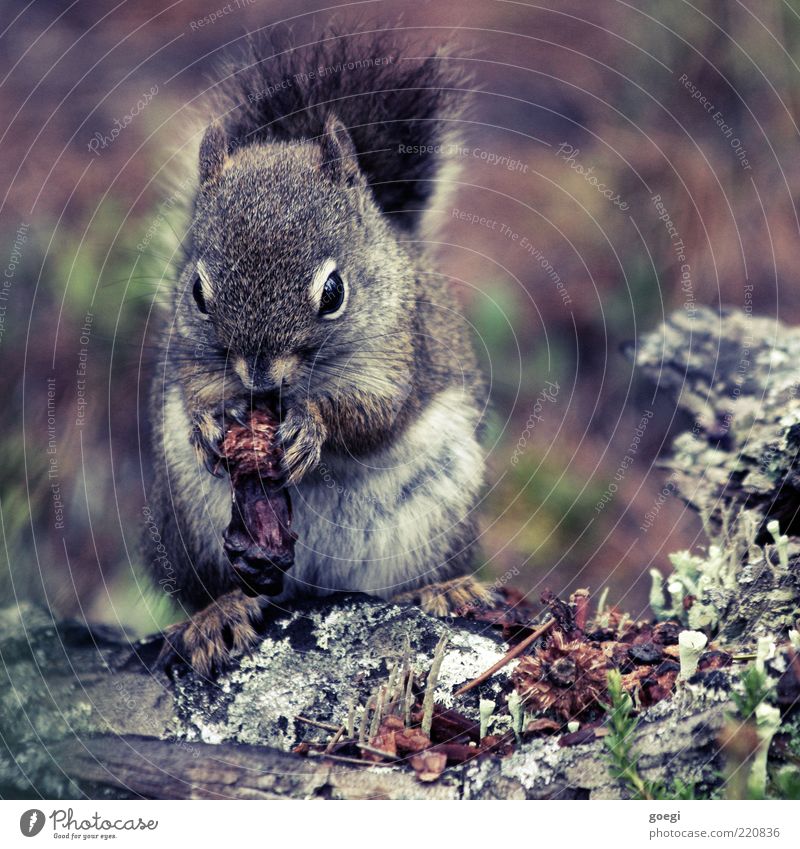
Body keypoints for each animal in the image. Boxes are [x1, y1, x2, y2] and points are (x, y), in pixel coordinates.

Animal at [145, 28, 494, 676]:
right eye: (197, 291)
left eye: (334, 292)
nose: (259, 379)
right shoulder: (186, 355)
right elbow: (194, 388)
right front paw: (209, 423)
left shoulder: (399, 350)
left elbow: (374, 414)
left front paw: (311, 426)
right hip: (191, 522)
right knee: (213, 586)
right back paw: (218, 614)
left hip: (440, 508)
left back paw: (444, 589)